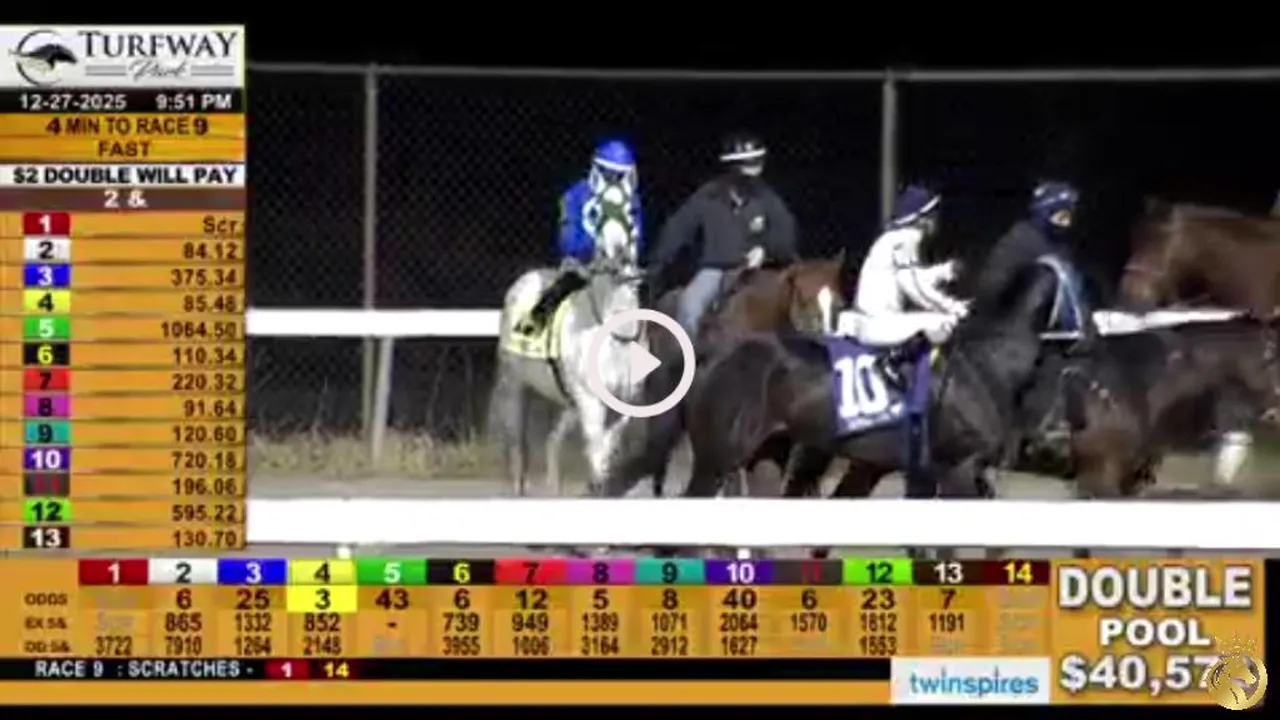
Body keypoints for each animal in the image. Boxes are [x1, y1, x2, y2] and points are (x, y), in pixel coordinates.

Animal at [491, 189, 645, 497]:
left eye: (632, 212)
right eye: (598, 215)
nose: (619, 256)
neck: (615, 337)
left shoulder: (623, 404)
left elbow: (607, 447)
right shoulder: (590, 400)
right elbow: (596, 449)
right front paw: (597, 484)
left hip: (566, 401)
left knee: (552, 440)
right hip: (516, 385)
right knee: (518, 445)